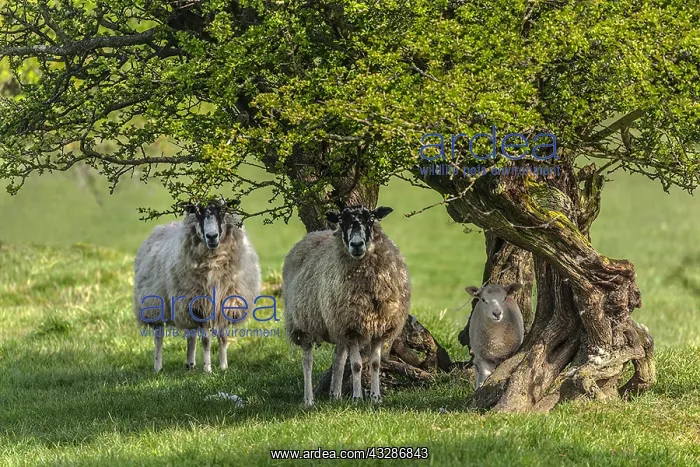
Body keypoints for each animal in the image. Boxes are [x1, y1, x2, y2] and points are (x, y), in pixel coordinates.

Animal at [134, 199, 261, 373]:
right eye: (197, 212)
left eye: (222, 211)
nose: (212, 236)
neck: (214, 262)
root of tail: (163, 227)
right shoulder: (201, 306)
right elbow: (206, 340)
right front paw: (208, 369)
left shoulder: (224, 305)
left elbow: (223, 338)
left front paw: (224, 367)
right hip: (155, 305)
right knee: (159, 337)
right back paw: (158, 367)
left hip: (184, 306)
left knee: (191, 334)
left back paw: (190, 364)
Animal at [282, 204, 411, 406]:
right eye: (342, 222)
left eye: (370, 220)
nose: (356, 245)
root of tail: (311, 235)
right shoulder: (352, 326)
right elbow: (357, 365)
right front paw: (357, 398)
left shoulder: (379, 326)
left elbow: (375, 364)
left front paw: (376, 398)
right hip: (303, 323)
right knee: (307, 361)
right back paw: (309, 399)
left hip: (336, 324)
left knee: (338, 358)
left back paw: (335, 395)